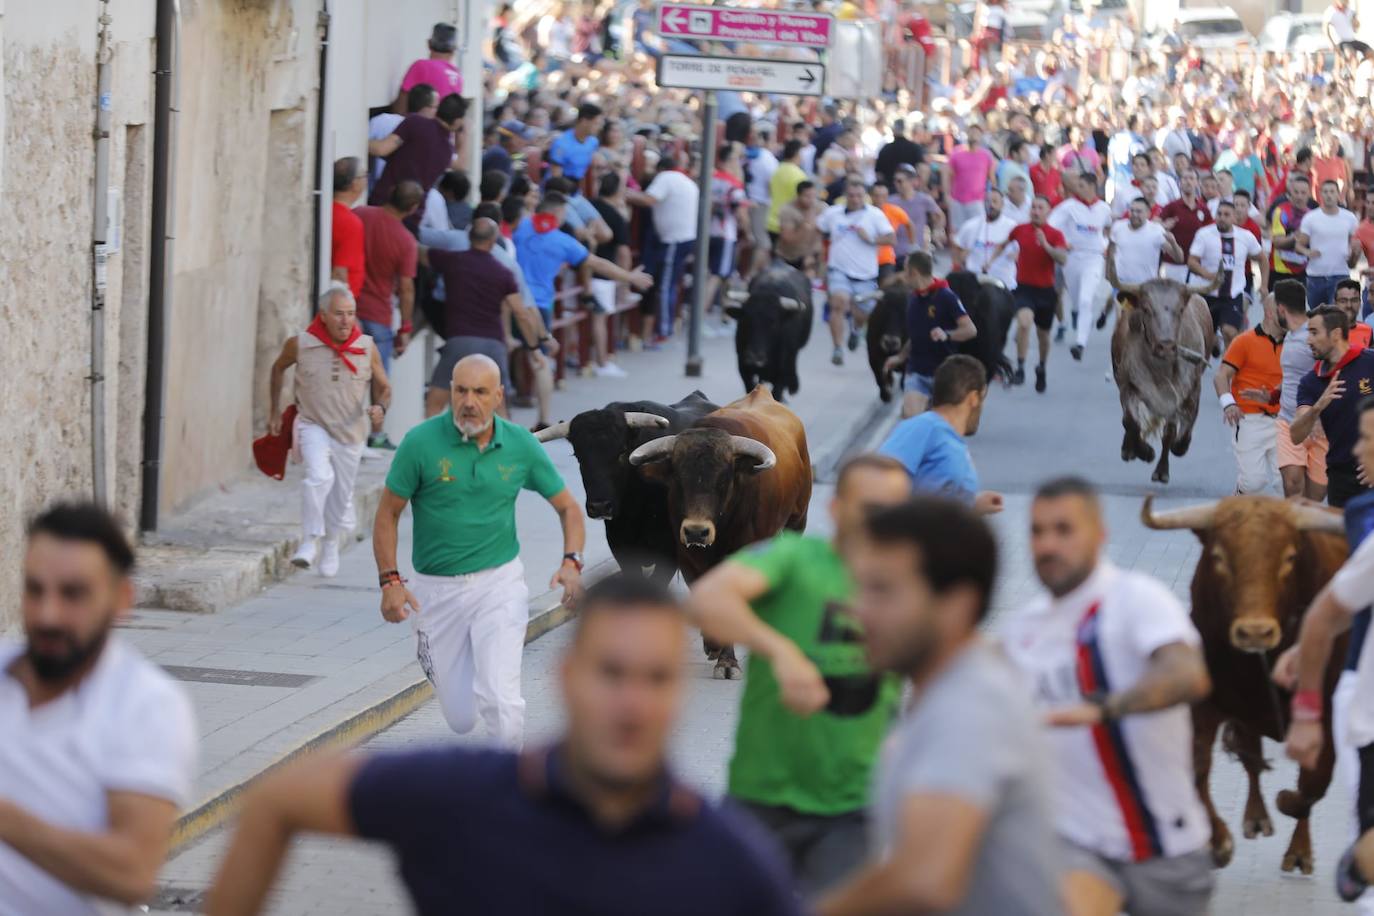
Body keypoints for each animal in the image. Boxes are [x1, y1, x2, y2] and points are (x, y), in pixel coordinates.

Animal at [629, 387, 807, 681]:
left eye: (724, 478)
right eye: (678, 477)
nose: (696, 531)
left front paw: (728, 662)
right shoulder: (688, 557)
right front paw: (714, 645)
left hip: (797, 521)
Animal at [730, 259, 813, 398]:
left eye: (773, 323)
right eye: (746, 319)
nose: (754, 356)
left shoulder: (780, 373)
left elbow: (777, 392)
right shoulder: (744, 368)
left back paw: (793, 385)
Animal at [1099, 258, 1220, 483]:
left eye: (1180, 309)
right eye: (1146, 309)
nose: (1166, 345)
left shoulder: (1190, 391)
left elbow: (1175, 435)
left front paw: (1164, 466)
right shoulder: (1127, 385)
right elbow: (1131, 422)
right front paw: (1144, 451)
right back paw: (1129, 449)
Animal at [1143, 497, 1346, 878]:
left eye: (1289, 557)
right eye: (1219, 557)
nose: (1254, 632)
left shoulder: (1325, 717)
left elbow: (1312, 785)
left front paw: (1289, 810)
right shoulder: (1206, 705)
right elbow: (1198, 764)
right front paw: (1217, 842)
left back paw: (1297, 851)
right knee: (1250, 758)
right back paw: (1255, 817)